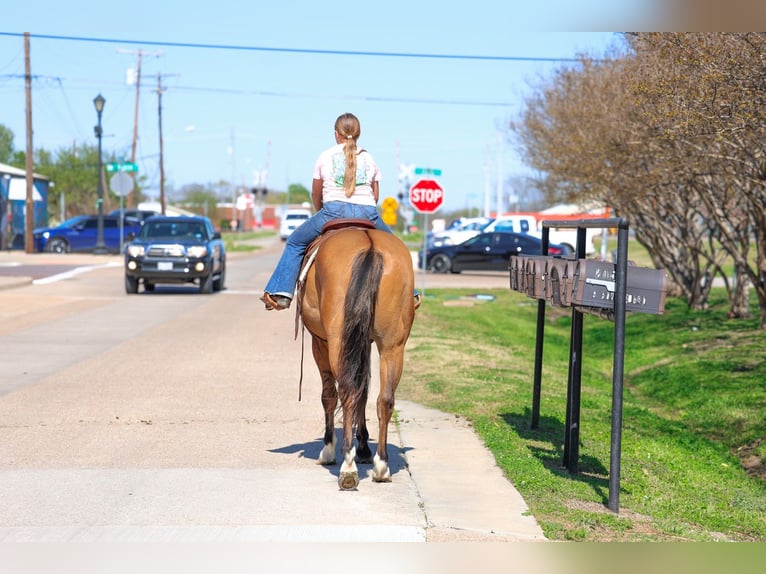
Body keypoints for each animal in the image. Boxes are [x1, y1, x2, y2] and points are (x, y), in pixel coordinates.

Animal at [298, 222, 416, 490]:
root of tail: (369, 245)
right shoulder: (366, 343)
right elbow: (364, 391)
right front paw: (364, 449)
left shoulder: (320, 343)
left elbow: (329, 396)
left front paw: (329, 450)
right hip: (393, 346)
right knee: (384, 399)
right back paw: (381, 465)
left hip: (337, 342)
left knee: (347, 392)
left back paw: (348, 467)